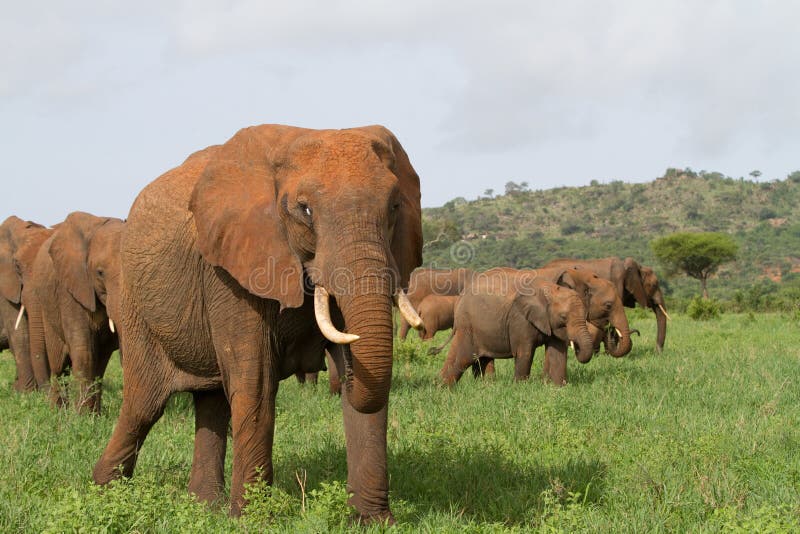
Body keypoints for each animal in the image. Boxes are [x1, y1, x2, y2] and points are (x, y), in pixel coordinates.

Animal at [26, 214, 124, 414]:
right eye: (100, 273)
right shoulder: (71, 291)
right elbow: (83, 350)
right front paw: (82, 416)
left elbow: (101, 357)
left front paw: (95, 416)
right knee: (59, 365)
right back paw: (57, 411)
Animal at [90, 123, 422, 524]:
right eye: (304, 209)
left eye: (395, 206)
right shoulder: (230, 271)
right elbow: (257, 384)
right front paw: (252, 519)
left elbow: (362, 389)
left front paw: (374, 522)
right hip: (135, 307)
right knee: (143, 405)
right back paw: (104, 495)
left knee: (211, 402)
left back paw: (204, 506)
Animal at [438, 270, 592, 388]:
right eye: (563, 316)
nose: (577, 347)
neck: (549, 289)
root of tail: (460, 299)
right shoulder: (520, 320)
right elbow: (525, 353)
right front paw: (521, 387)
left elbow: (557, 353)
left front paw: (557, 387)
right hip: (468, 326)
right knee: (462, 357)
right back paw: (442, 388)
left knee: (482, 359)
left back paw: (486, 386)